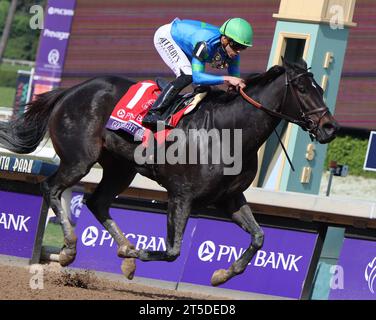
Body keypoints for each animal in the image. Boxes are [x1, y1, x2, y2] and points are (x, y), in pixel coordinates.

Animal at [0, 58, 338, 286]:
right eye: (303, 88)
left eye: (321, 88)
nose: (330, 127)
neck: (229, 131)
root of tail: (71, 91)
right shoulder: (181, 196)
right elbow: (173, 250)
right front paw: (134, 257)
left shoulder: (230, 198)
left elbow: (259, 237)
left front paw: (221, 274)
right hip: (80, 160)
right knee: (52, 188)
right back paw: (71, 249)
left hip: (120, 169)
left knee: (97, 202)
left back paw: (124, 247)